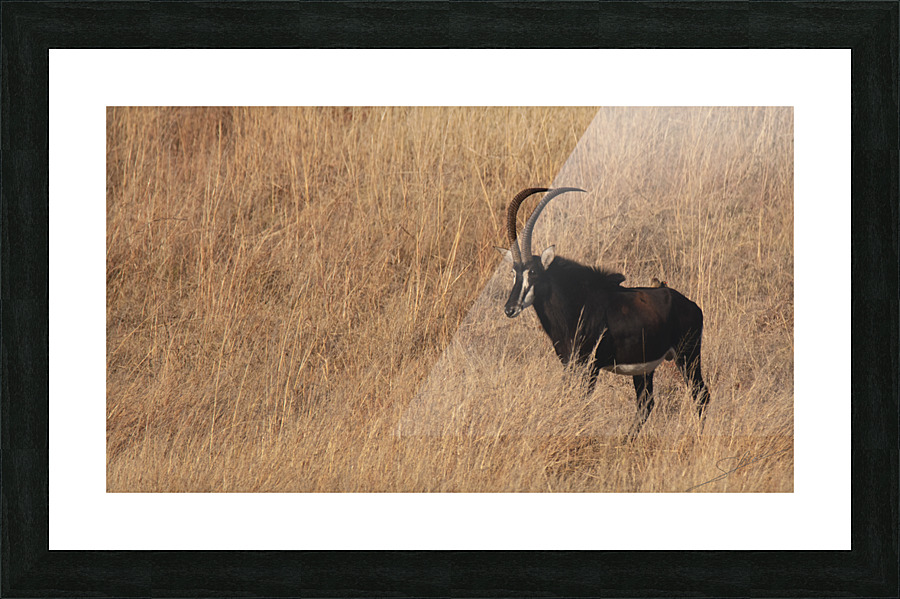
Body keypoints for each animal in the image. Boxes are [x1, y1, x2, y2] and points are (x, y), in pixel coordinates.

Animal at [501, 187, 710, 436]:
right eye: (514, 272)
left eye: (532, 272)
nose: (510, 309)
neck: (576, 302)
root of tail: (692, 306)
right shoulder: (569, 365)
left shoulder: (590, 366)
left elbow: (582, 404)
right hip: (645, 368)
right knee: (647, 403)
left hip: (688, 356)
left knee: (701, 394)